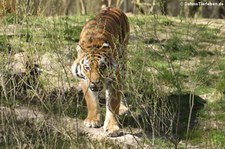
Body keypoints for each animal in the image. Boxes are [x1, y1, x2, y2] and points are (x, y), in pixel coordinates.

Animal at [71, 7, 129, 137]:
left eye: (102, 66)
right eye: (87, 67)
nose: (95, 82)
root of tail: (112, 7)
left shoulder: (115, 78)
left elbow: (113, 103)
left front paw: (112, 128)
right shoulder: (84, 79)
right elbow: (91, 100)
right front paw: (92, 120)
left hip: (123, 61)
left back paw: (122, 108)